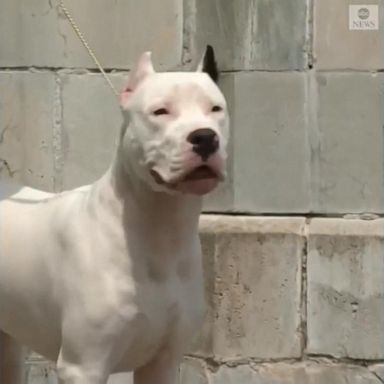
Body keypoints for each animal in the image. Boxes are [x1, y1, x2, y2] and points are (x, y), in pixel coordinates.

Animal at [0, 47, 228, 384]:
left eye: (215, 108)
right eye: (160, 111)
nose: (204, 137)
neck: (160, 228)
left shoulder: (163, 362)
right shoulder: (84, 366)